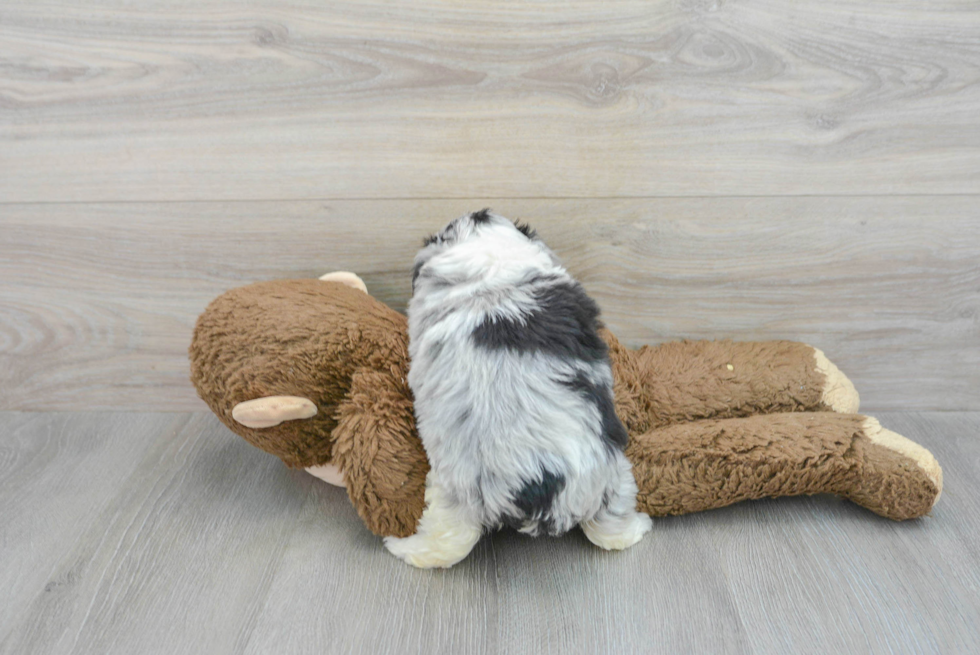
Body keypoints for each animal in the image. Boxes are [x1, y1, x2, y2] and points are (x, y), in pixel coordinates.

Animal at [382, 210, 652, 568]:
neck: (491, 271)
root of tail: (536, 484)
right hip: (612, 477)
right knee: (611, 529)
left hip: (456, 493)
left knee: (444, 544)